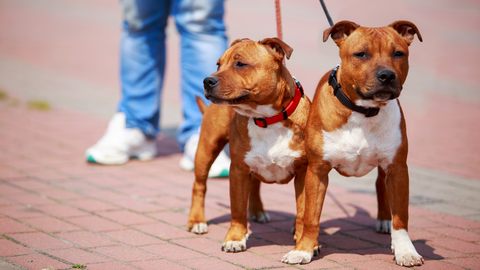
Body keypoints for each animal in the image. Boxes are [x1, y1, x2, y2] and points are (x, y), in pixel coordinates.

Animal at [188, 37, 312, 252]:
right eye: (218, 64)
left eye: (240, 64)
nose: (207, 80)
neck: (267, 119)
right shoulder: (238, 170)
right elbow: (237, 208)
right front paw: (235, 238)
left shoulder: (303, 172)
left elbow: (303, 209)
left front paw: (301, 238)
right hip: (207, 148)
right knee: (199, 185)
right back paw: (197, 221)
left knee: (254, 183)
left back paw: (257, 211)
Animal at [282, 20, 424, 266]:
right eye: (361, 54)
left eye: (398, 53)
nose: (387, 75)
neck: (363, 112)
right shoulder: (317, 171)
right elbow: (311, 215)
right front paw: (304, 249)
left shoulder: (397, 169)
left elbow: (401, 217)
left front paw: (405, 251)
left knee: (380, 185)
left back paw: (384, 221)